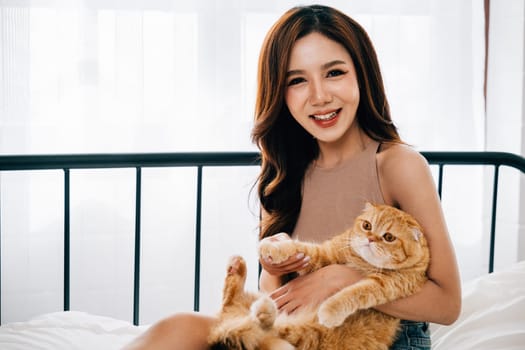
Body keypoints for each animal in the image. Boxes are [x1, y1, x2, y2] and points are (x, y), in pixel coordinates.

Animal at [209, 204, 430, 348]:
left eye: (389, 237)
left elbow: (352, 293)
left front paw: (330, 311)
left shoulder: (385, 284)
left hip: (294, 335)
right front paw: (273, 247)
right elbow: (301, 247)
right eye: (367, 225)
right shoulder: (326, 254)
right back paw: (237, 268)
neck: (362, 262)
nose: (370, 239)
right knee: (230, 304)